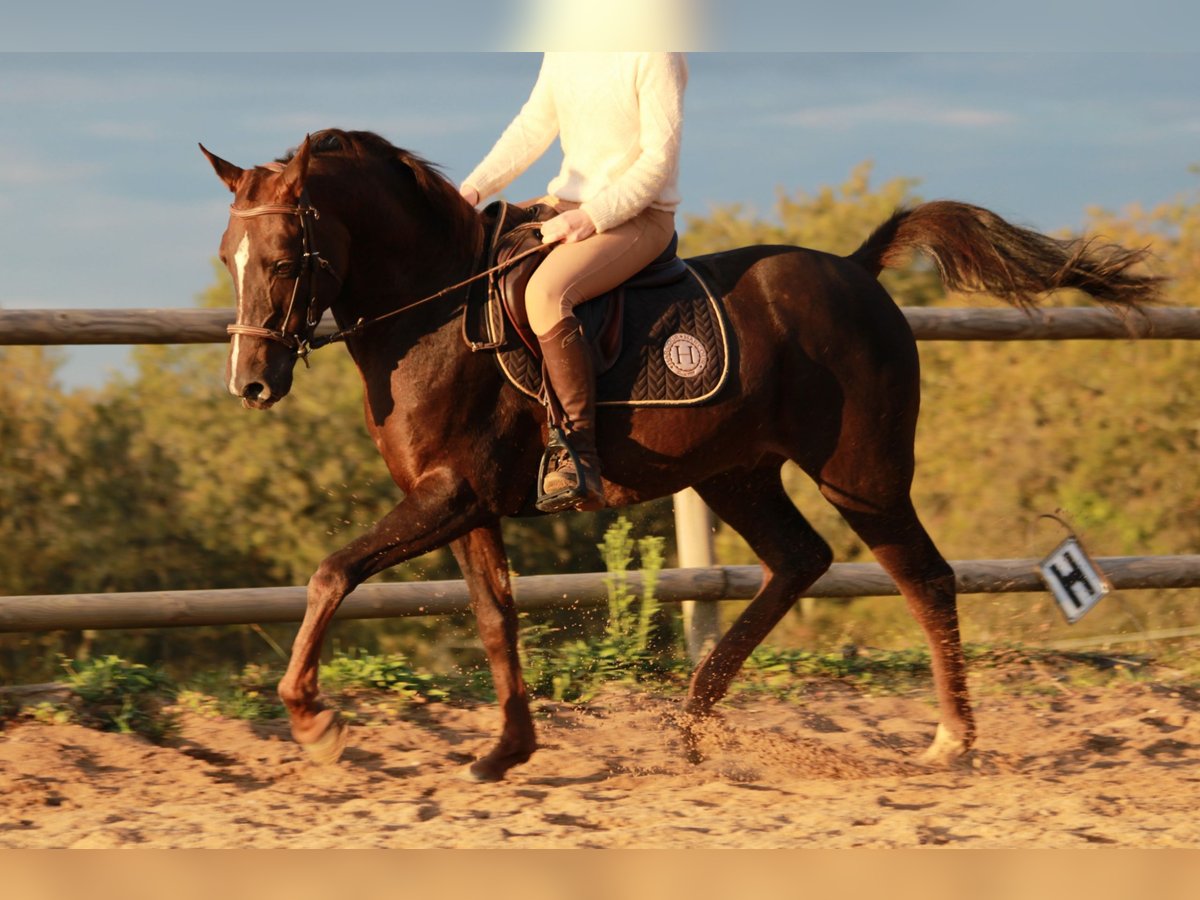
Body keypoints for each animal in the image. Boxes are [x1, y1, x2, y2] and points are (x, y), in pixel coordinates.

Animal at [201, 128, 1156, 782]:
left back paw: (951, 740)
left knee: (923, 578)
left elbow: (332, 573)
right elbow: (495, 618)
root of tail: (856, 268)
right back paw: (692, 721)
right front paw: (507, 750)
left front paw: (314, 721)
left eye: (283, 257)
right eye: (227, 257)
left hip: (863, 475)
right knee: (799, 562)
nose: (250, 382)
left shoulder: (449, 495)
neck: (435, 313)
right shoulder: (463, 503)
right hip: (737, 474)